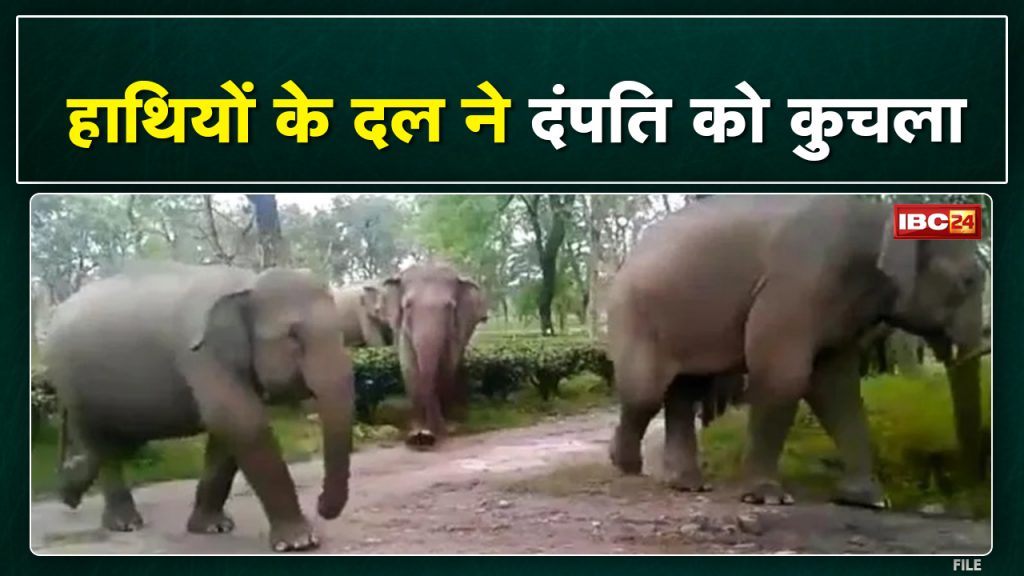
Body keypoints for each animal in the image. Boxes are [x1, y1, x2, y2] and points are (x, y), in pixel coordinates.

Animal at [44, 263, 354, 552]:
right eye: (293, 336)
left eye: (342, 331)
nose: (320, 504)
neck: (248, 282)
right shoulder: (199, 355)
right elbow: (239, 421)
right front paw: (299, 542)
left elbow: (227, 433)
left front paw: (212, 527)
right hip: (71, 382)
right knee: (102, 446)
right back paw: (123, 523)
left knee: (115, 444)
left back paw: (68, 491)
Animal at [377, 263, 488, 449]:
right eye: (407, 306)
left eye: (450, 307)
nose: (428, 435)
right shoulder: (401, 330)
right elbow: (409, 368)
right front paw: (417, 434)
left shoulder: (457, 330)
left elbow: (447, 366)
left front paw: (441, 431)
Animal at [606, 195, 987, 508]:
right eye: (967, 281)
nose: (965, 482)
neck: (878, 216)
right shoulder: (798, 283)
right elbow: (784, 377)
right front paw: (767, 498)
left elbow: (839, 390)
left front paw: (867, 500)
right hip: (634, 313)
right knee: (646, 393)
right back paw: (625, 465)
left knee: (687, 389)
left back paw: (686, 484)